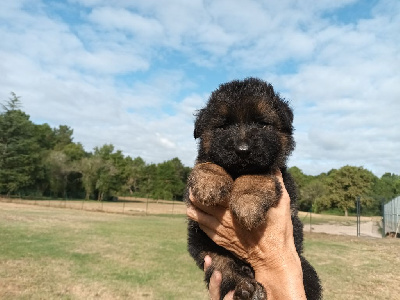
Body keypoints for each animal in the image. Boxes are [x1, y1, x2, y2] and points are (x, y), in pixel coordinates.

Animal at [187, 78, 322, 300]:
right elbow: (208, 163)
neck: (236, 174)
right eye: (224, 126)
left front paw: (247, 203)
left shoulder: (277, 175)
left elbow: (256, 175)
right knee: (226, 270)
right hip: (211, 255)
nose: (243, 150)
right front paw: (209, 182)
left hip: (304, 268)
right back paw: (247, 289)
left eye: (261, 123)